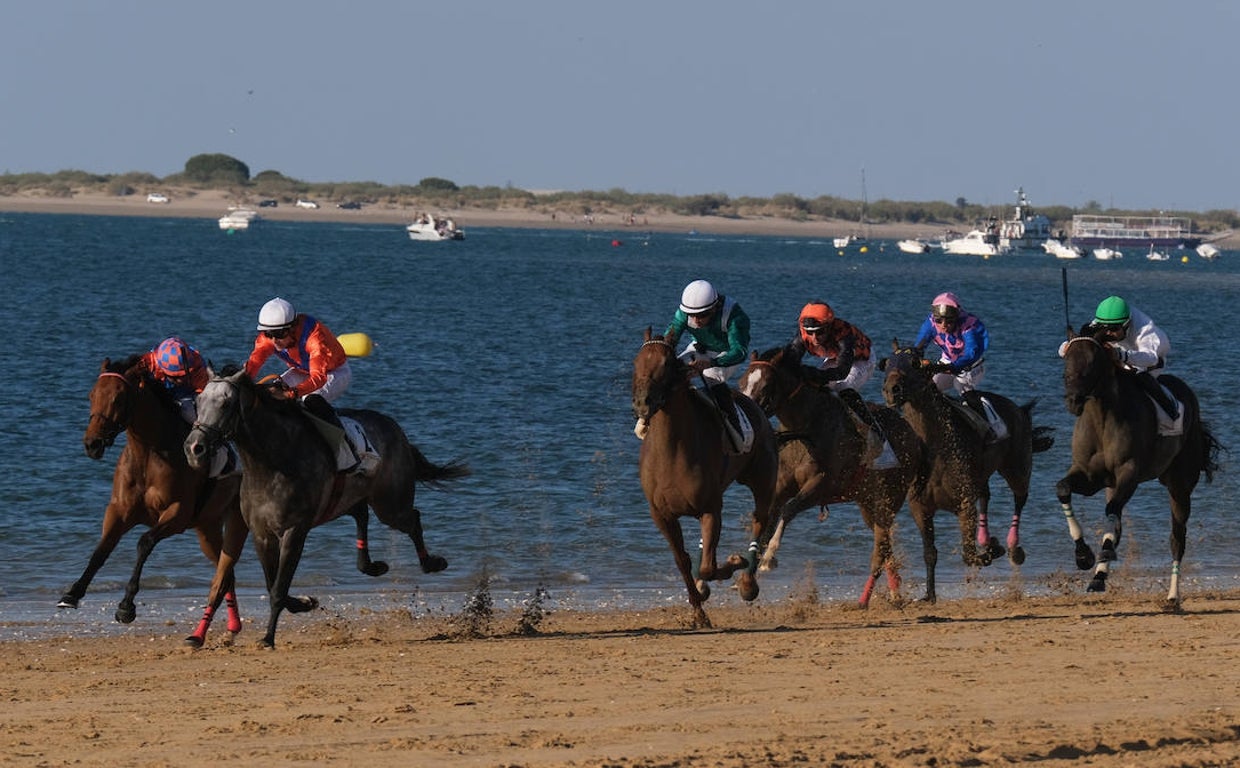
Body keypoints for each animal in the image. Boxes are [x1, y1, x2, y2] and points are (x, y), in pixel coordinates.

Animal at [184, 367, 468, 650]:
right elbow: (272, 583)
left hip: (390, 504)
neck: (271, 463)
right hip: (351, 497)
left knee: (412, 519)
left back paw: (432, 562)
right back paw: (371, 565)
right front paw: (304, 603)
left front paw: (268, 637)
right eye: (198, 402)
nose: (194, 448)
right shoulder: (261, 534)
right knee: (362, 514)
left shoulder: (295, 531)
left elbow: (278, 589)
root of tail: (395, 429)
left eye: (226, 403)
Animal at [634, 327, 778, 627]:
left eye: (667, 364)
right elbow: (684, 561)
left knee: (761, 522)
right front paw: (698, 610)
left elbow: (709, 567)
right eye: (636, 362)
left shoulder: (711, 509)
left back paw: (748, 582)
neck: (671, 452)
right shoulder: (662, 515)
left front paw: (735, 562)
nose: (642, 403)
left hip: (763, 480)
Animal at [729, 347, 927, 607]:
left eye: (766, 385)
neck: (807, 429)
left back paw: (863, 602)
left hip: (890, 499)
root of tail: (915, 437)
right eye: (742, 382)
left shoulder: (822, 484)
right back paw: (894, 594)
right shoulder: (780, 487)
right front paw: (746, 581)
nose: (747, 413)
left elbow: (789, 510)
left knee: (880, 549)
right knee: (885, 548)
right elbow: (766, 520)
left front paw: (769, 558)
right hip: (868, 503)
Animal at [882, 339, 1056, 600]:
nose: (891, 390)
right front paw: (929, 595)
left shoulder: (964, 502)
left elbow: (968, 553)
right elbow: (930, 553)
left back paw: (1012, 546)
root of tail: (1020, 409)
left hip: (1017, 468)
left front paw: (994, 550)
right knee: (986, 496)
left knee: (1020, 498)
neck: (936, 447)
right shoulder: (920, 507)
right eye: (886, 363)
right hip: (982, 476)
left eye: (914, 363)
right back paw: (987, 538)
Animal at [1056, 332, 1220, 602]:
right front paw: (1083, 554)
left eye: (1092, 362)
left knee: (1177, 537)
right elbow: (1063, 489)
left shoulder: (1129, 474)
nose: (1073, 400)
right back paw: (1098, 577)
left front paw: (1099, 554)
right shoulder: (1090, 477)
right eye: (1067, 359)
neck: (1102, 418)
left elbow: (1112, 513)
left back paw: (1173, 596)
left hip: (1179, 485)